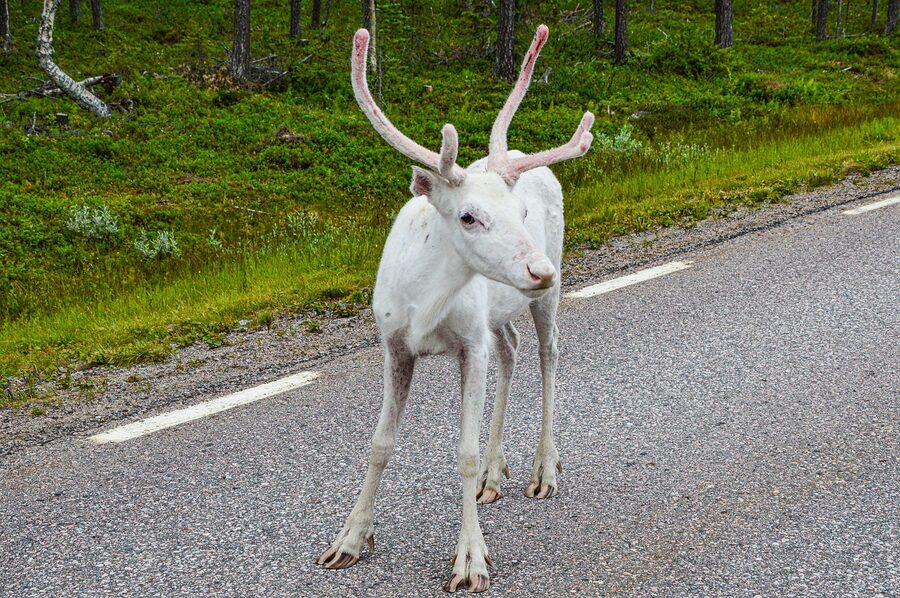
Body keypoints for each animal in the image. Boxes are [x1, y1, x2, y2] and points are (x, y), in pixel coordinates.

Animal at [316, 24, 594, 593]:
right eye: (468, 216)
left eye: (520, 212)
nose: (539, 270)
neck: (427, 302)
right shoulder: (395, 346)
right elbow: (380, 442)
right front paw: (349, 539)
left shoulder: (469, 345)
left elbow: (461, 453)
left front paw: (470, 559)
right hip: (500, 313)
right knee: (511, 348)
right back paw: (495, 471)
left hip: (543, 298)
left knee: (548, 354)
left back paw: (543, 468)